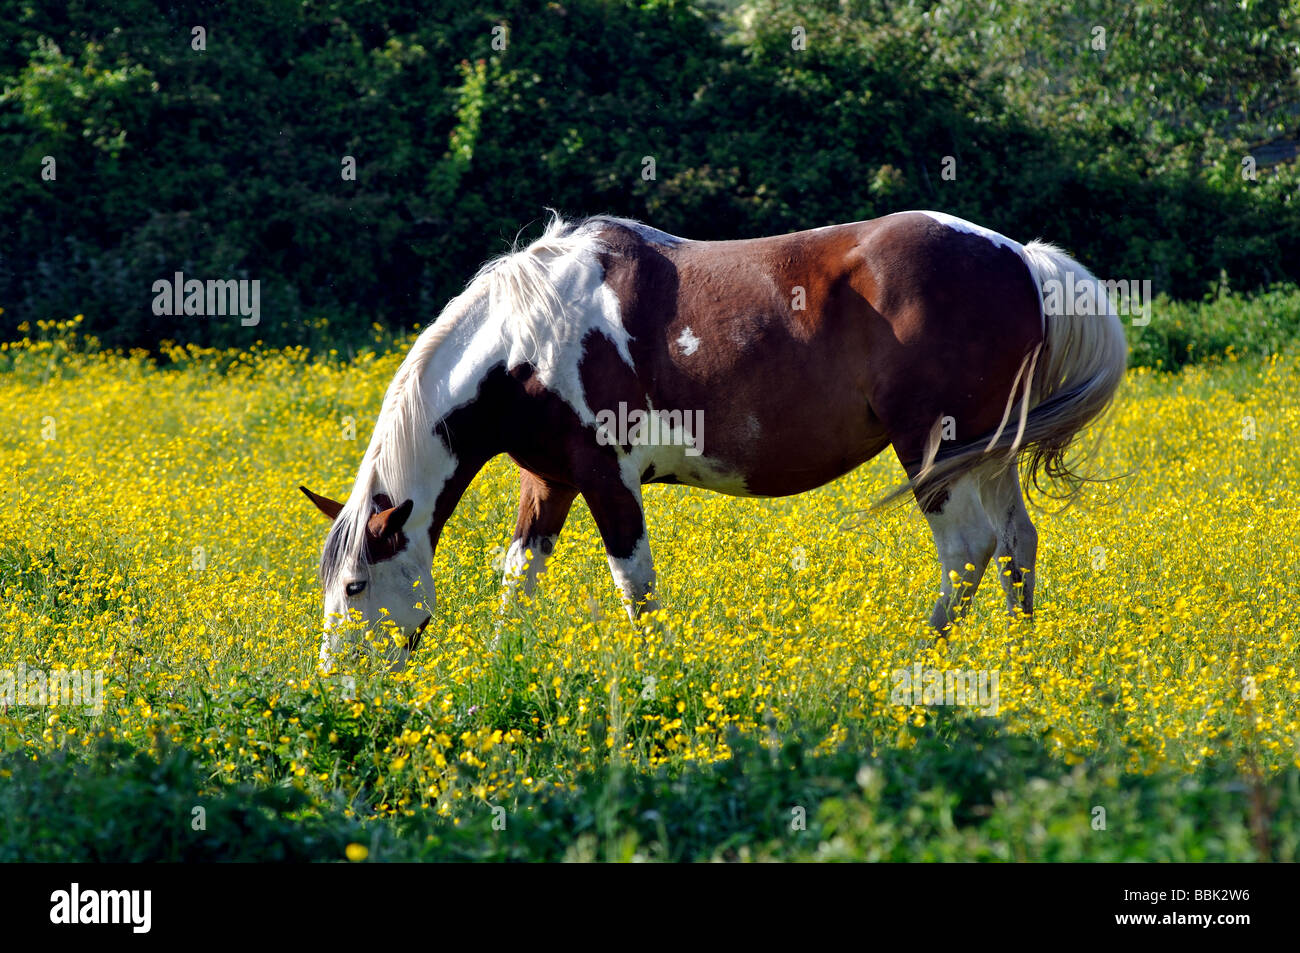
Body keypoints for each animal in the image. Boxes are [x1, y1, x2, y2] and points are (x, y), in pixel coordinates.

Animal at [301, 210, 1126, 671]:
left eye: (355, 585)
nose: (338, 681)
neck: (524, 340)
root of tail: (1020, 256)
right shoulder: (549, 482)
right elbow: (517, 584)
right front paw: (499, 669)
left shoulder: (608, 480)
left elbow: (635, 589)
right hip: (991, 449)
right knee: (1017, 544)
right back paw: (1020, 662)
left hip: (935, 451)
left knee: (968, 551)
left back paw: (919, 659)